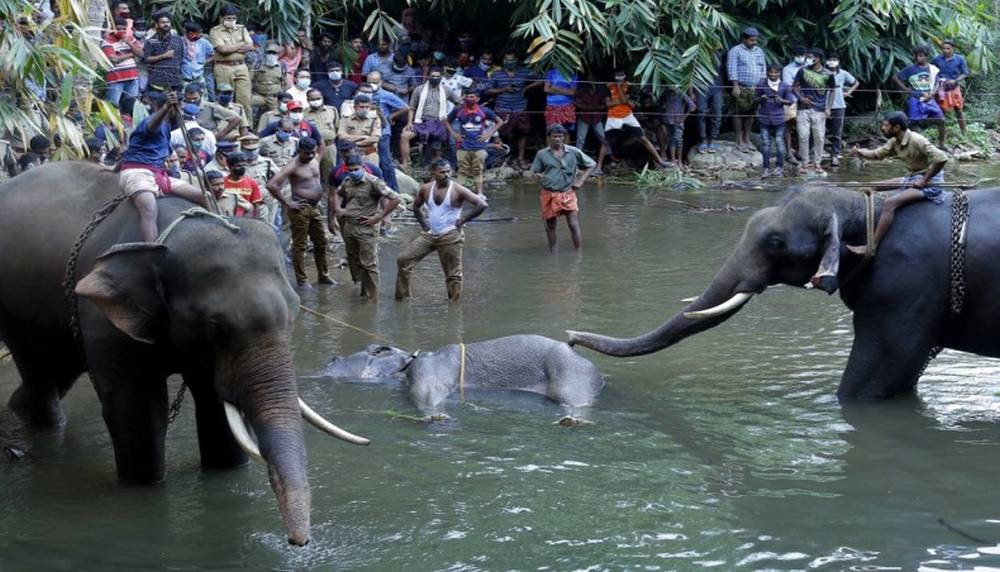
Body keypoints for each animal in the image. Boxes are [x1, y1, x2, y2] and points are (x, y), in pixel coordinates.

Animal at [0, 161, 368, 544]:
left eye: (294, 312)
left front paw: (225, 472)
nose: (299, 542)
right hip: (13, 308)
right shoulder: (103, 317)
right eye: (214, 327)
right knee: (39, 370)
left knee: (59, 369)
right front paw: (144, 486)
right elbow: (138, 410)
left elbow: (214, 404)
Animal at [324, 336, 604, 420]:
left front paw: (437, 417)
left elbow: (426, 394)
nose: (330, 359)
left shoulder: (428, 372)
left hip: (570, 375)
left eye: (335, 359)